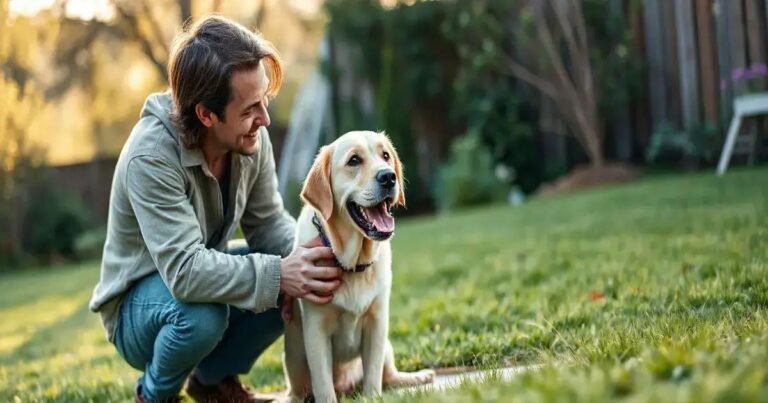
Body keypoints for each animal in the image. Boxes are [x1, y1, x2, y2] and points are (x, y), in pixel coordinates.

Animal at [282, 131, 436, 402]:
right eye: (354, 160)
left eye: (385, 156)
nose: (388, 176)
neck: (352, 263)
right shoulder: (316, 330)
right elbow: (323, 386)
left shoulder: (378, 322)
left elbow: (373, 375)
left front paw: (373, 397)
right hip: (293, 360)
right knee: (299, 392)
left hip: (387, 346)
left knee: (389, 376)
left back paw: (417, 376)